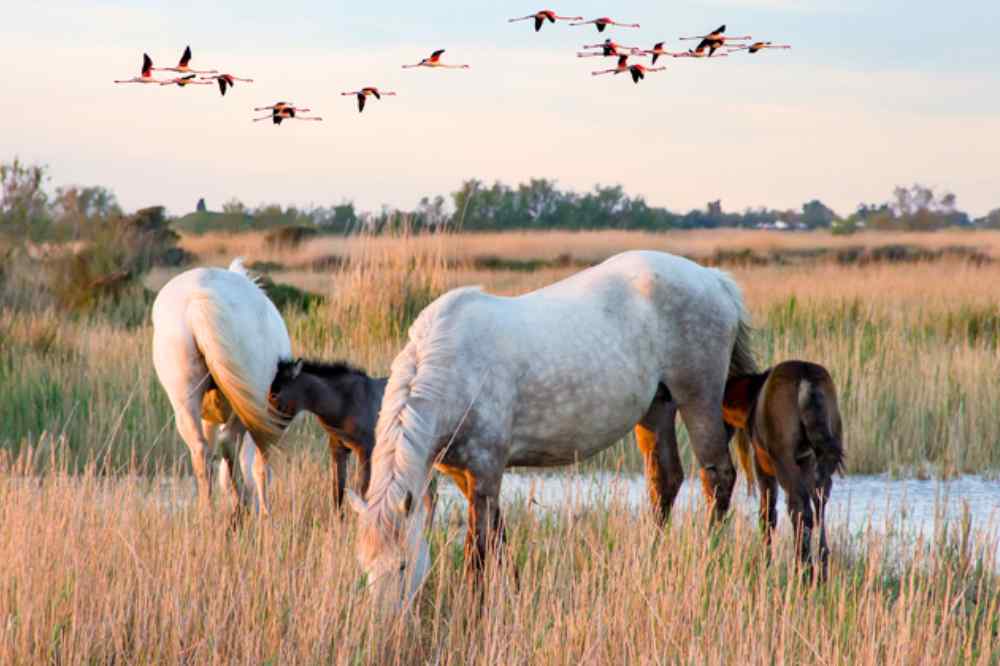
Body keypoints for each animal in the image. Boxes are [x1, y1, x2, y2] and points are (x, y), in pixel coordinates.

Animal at [150, 256, 290, 510]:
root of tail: (197, 298)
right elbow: (260, 468)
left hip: (185, 399)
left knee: (201, 450)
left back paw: (208, 511)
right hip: (249, 400)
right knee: (230, 444)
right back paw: (243, 504)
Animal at [270, 358, 386, 508]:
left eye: (274, 395)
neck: (345, 404)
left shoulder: (366, 451)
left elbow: (365, 491)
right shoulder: (338, 450)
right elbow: (337, 491)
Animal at [348, 250, 752, 612]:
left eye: (403, 565)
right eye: (365, 567)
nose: (386, 627)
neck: (453, 366)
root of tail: (714, 279)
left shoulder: (485, 470)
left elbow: (478, 547)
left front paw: (474, 609)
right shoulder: (465, 474)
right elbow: (499, 536)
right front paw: (513, 591)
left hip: (698, 398)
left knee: (717, 476)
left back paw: (709, 556)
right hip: (657, 408)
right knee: (664, 481)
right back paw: (650, 557)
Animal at [728, 358, 844, 572]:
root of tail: (807, 380)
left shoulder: (763, 461)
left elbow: (768, 512)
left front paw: (765, 562)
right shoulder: (805, 460)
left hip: (782, 456)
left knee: (800, 508)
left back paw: (804, 567)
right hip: (825, 451)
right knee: (818, 502)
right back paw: (821, 564)